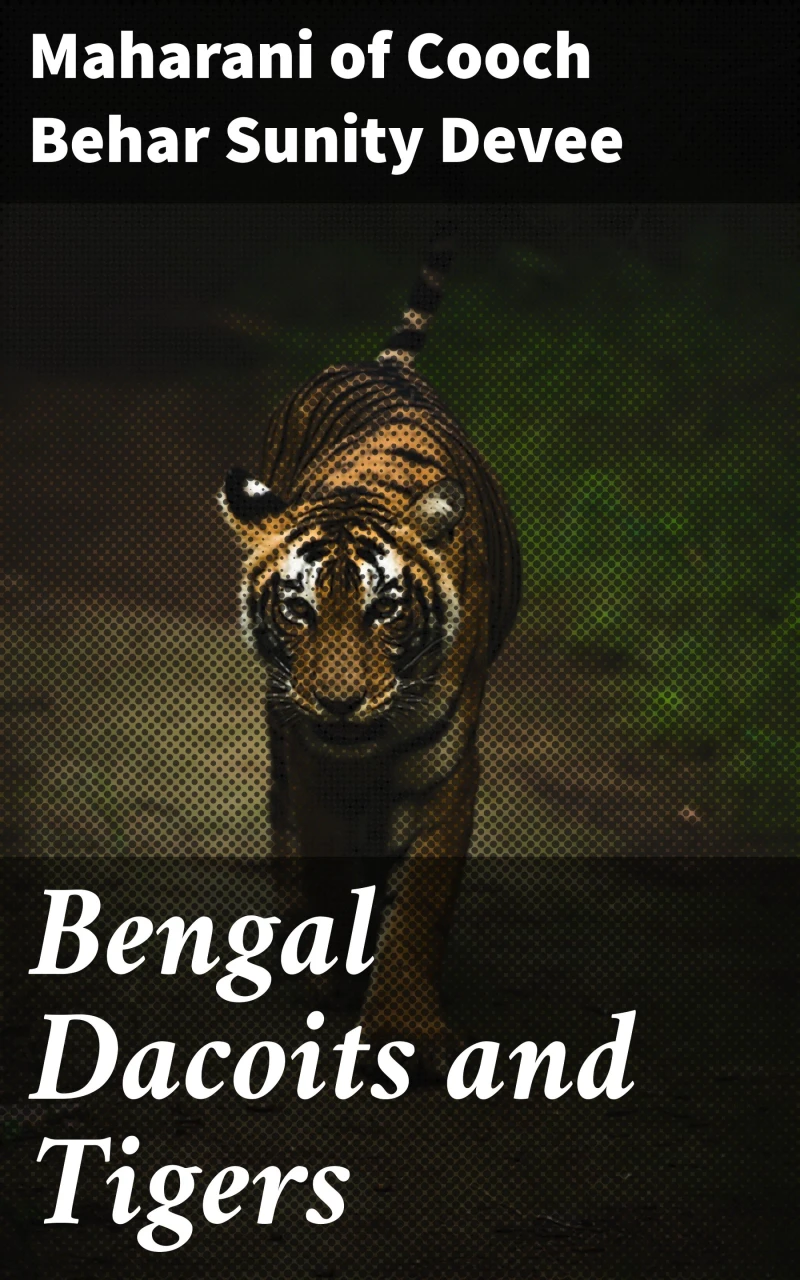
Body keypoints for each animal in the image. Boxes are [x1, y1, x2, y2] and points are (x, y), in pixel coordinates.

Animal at [219, 236, 521, 1078]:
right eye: (298, 610)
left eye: (385, 609)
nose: (339, 702)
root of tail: (378, 362)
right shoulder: (317, 762)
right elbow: (327, 861)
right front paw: (329, 969)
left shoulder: (447, 768)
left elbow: (420, 898)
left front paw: (404, 1023)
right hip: (280, 723)